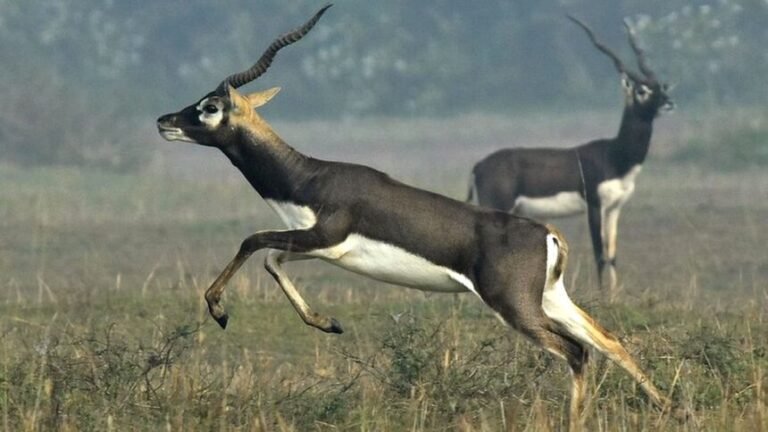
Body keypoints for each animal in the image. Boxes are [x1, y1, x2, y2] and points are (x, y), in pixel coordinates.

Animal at [467, 16, 673, 297]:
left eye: (658, 85)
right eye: (641, 90)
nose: (669, 102)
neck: (614, 156)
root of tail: (478, 165)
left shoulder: (615, 208)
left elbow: (612, 254)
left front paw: (613, 295)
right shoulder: (594, 205)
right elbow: (599, 253)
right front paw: (602, 296)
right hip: (497, 205)